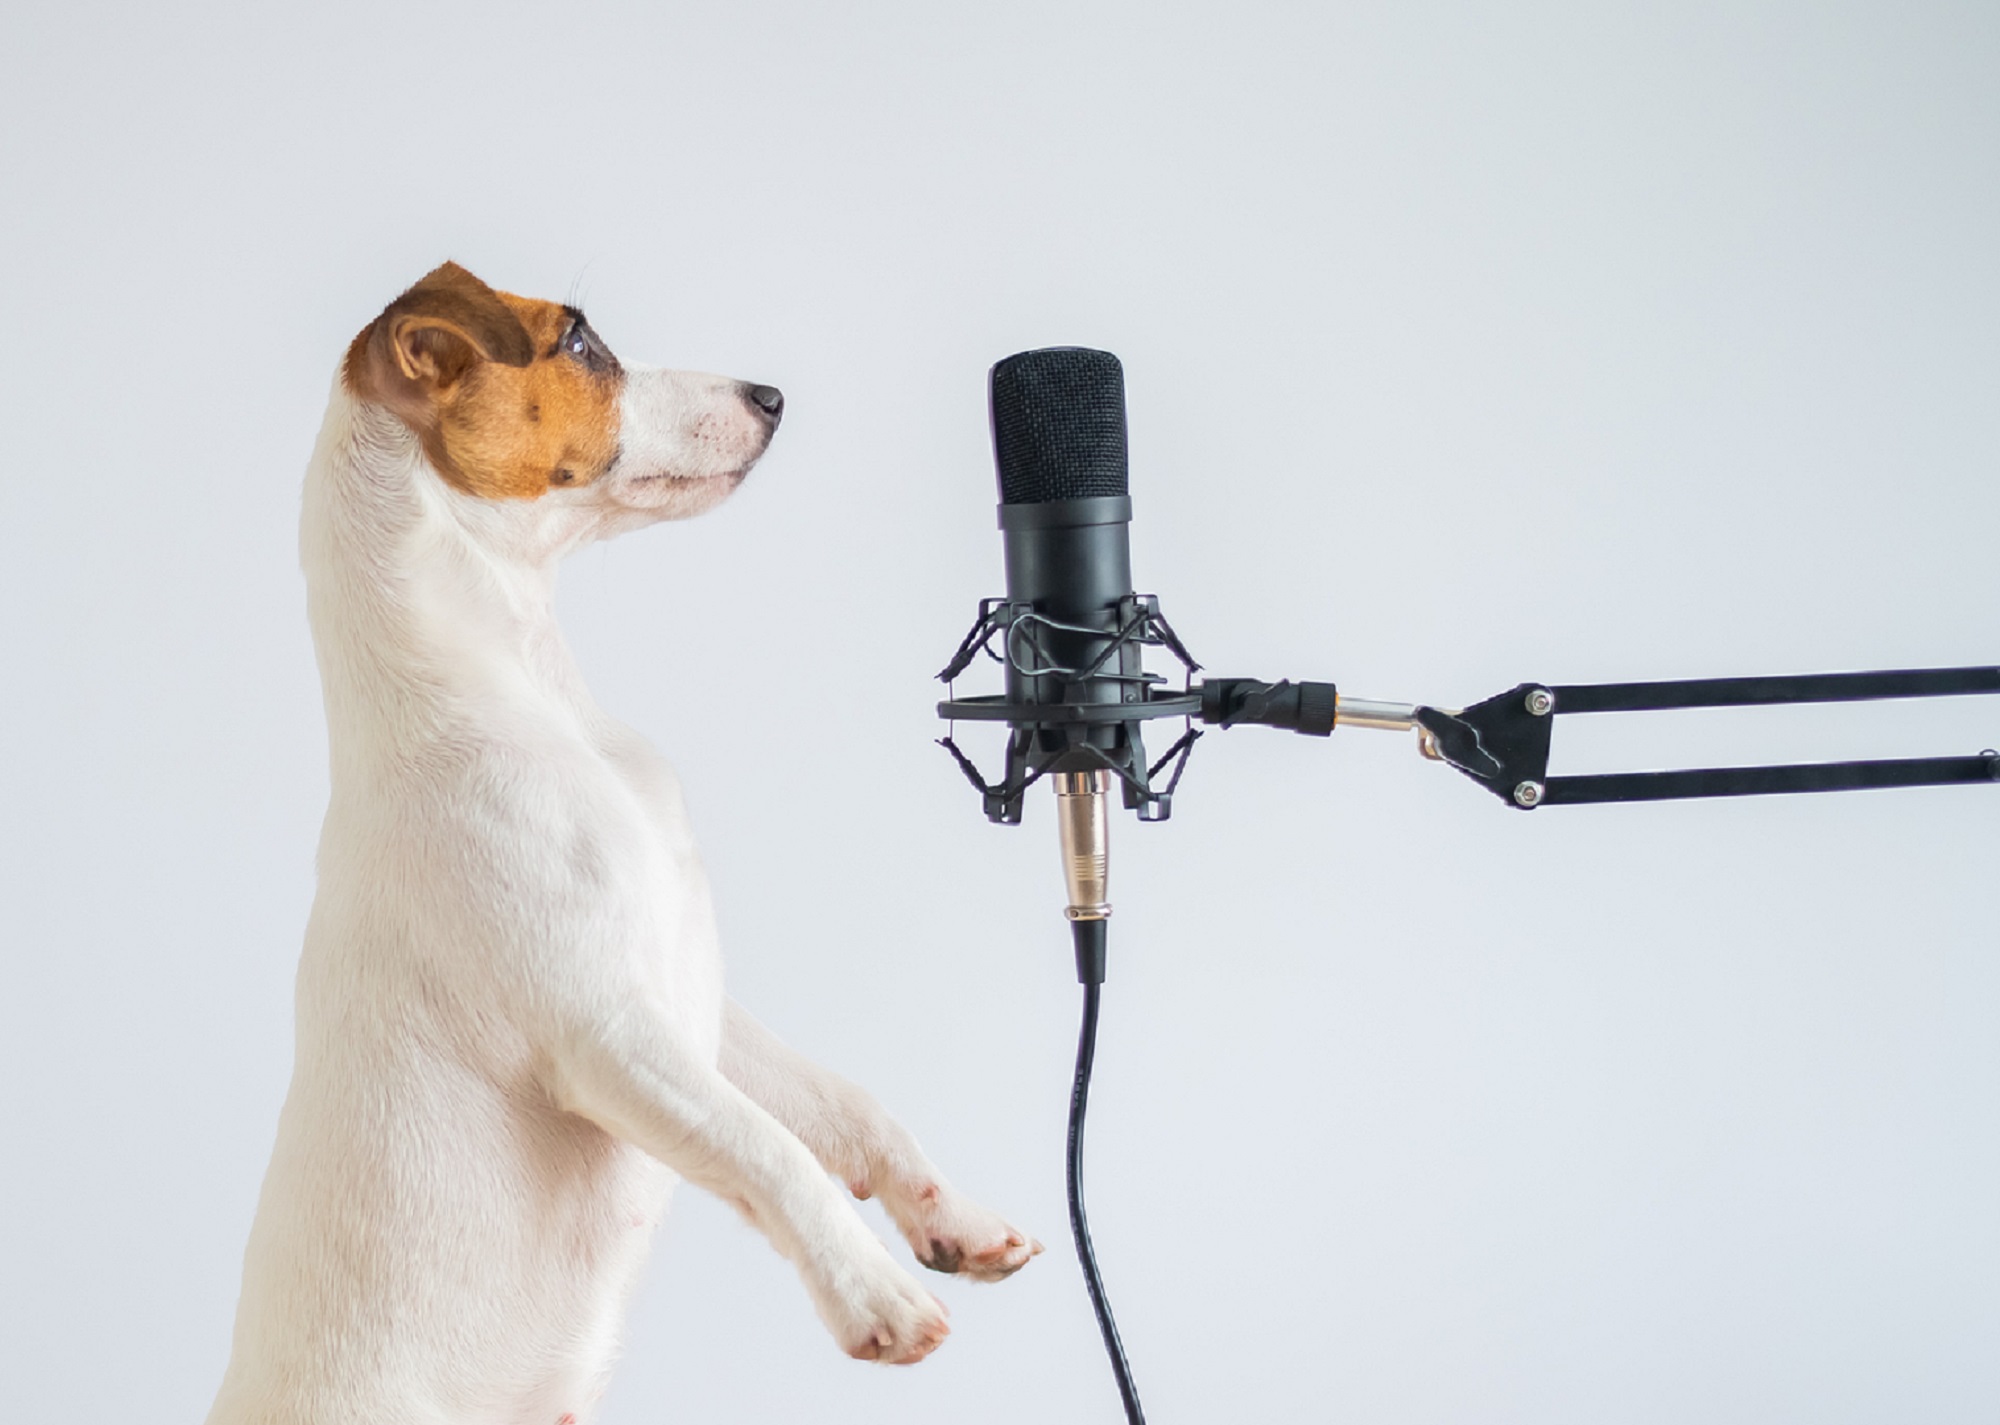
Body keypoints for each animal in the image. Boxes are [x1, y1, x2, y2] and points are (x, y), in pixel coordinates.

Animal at [207, 264, 1048, 1425]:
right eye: (578, 342)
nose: (771, 394)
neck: (526, 689)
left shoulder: (691, 1003)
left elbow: (843, 1105)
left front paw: (950, 1217)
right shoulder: (603, 1032)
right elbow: (769, 1145)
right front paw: (869, 1289)